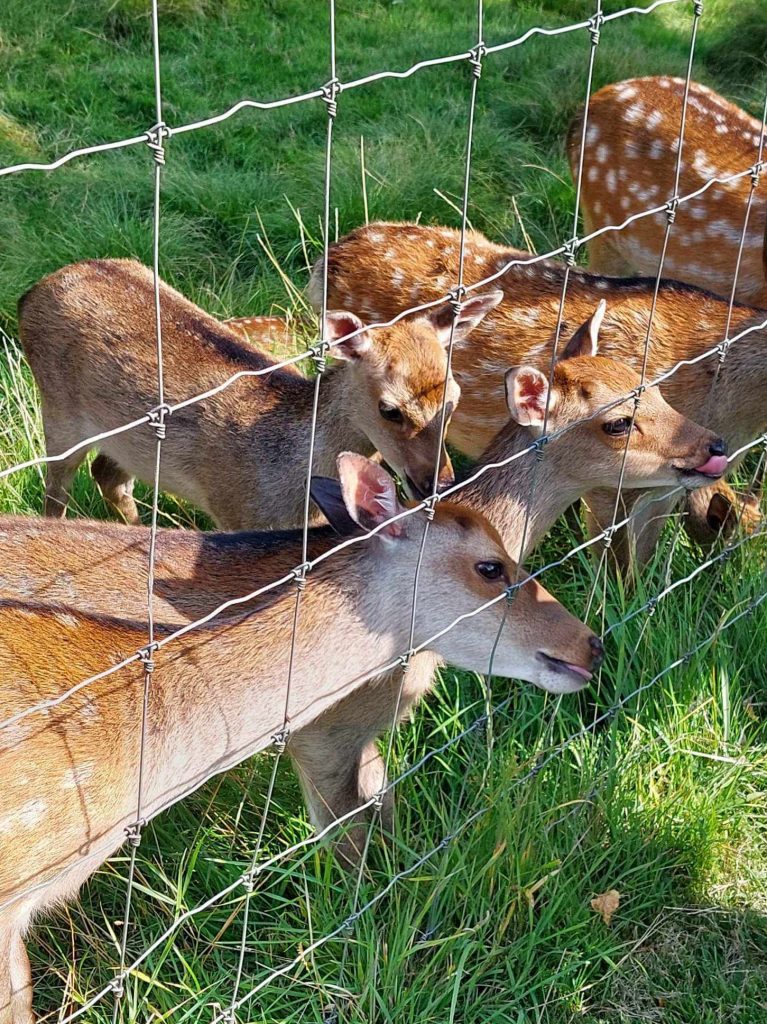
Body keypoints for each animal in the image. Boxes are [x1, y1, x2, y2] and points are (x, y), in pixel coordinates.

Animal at [17, 258, 501, 528]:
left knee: (108, 474)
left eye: (453, 400)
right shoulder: (233, 511)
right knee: (55, 490)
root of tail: (28, 295)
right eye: (390, 409)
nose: (437, 482)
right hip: (58, 411)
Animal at [303, 221, 765, 573]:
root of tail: (330, 255)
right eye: (618, 422)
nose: (715, 445)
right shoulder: (610, 491)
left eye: (655, 390)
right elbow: (620, 571)